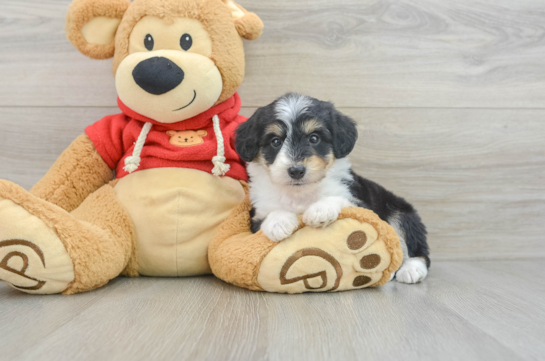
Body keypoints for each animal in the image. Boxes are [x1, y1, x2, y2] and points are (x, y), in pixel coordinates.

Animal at [234, 93, 430, 284]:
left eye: (314, 138)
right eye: (275, 141)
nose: (296, 171)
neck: (300, 193)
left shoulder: (359, 202)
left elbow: (338, 199)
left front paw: (320, 211)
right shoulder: (257, 215)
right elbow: (270, 214)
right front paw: (279, 222)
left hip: (400, 211)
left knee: (415, 247)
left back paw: (411, 269)